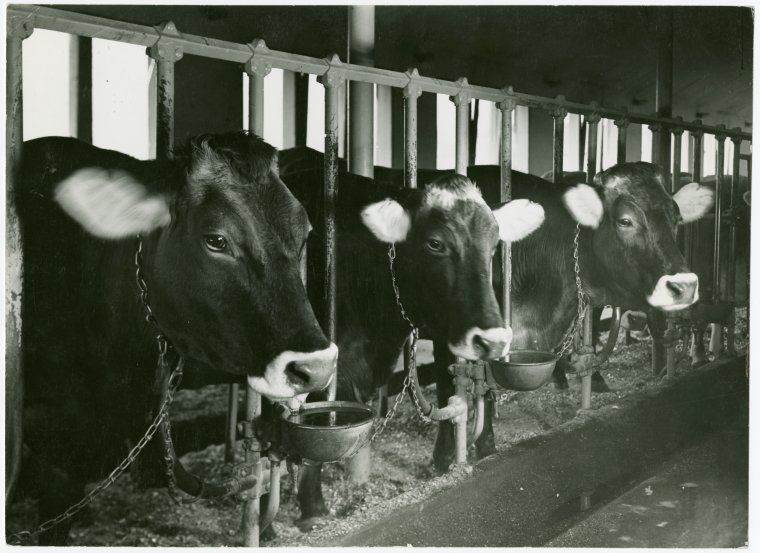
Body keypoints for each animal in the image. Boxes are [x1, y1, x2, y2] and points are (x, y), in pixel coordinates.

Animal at [276, 162, 546, 530]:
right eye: (435, 243)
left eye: (493, 245)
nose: (492, 339)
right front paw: (313, 510)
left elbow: (452, 387)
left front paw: (463, 455)